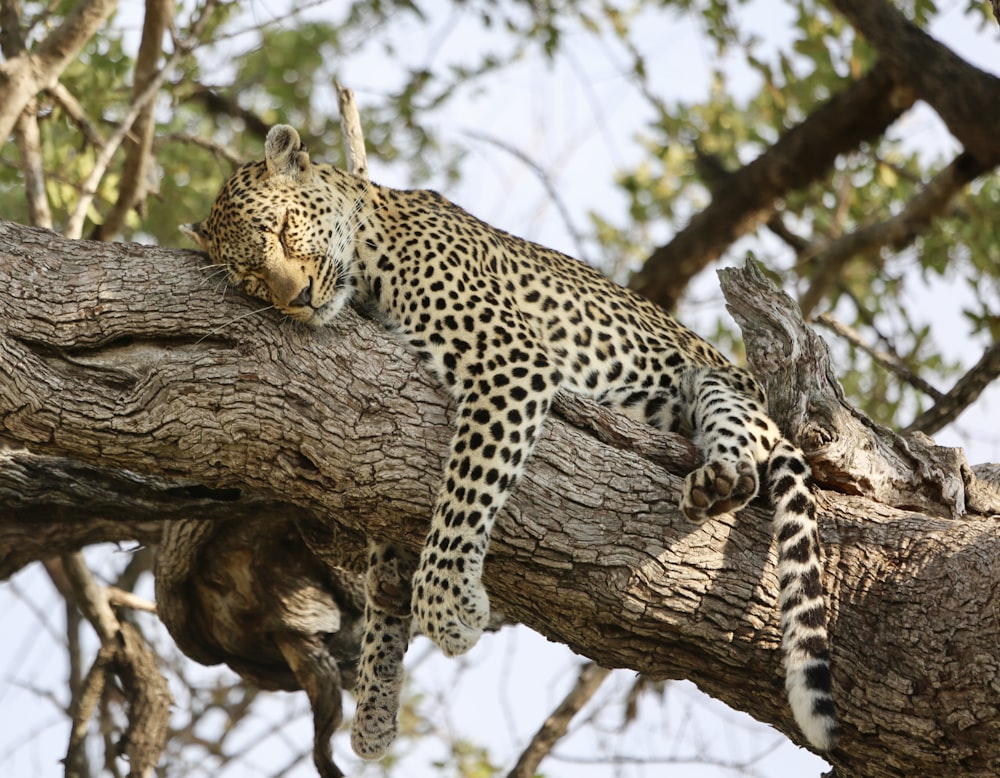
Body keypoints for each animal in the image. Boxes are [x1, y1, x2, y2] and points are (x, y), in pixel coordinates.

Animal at [180, 124, 836, 756]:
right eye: (250, 277)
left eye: (284, 230)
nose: (295, 299)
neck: (368, 248)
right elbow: (386, 562)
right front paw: (375, 700)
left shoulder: (508, 360)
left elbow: (466, 486)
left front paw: (445, 600)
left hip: (717, 381)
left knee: (754, 439)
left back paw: (723, 476)